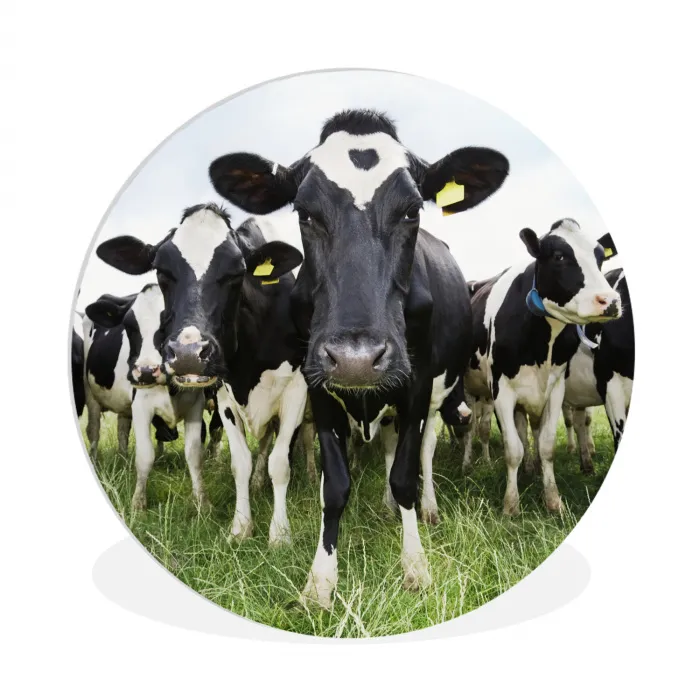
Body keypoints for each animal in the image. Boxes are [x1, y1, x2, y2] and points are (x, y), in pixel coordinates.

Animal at [95, 205, 306, 545]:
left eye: (237, 272)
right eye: (161, 270)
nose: (188, 354)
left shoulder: (297, 392)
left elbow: (280, 463)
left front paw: (280, 534)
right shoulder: (224, 396)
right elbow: (240, 463)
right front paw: (241, 527)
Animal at [209, 108, 509, 608]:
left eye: (412, 210)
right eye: (305, 212)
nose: (356, 359)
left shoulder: (416, 386)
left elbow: (405, 475)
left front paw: (415, 566)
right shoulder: (317, 386)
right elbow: (334, 486)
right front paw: (320, 581)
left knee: (423, 453)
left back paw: (424, 509)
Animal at [465, 218, 620, 515]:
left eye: (599, 257)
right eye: (559, 256)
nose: (610, 301)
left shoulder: (555, 388)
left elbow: (546, 445)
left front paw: (553, 500)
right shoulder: (501, 390)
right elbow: (512, 448)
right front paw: (511, 506)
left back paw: (531, 468)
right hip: (470, 390)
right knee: (471, 428)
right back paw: (468, 462)